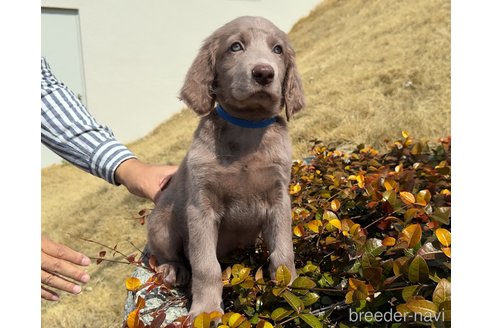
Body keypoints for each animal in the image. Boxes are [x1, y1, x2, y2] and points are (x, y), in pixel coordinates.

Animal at [147, 16, 304, 318]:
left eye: (277, 49)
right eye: (235, 46)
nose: (264, 73)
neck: (247, 129)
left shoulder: (279, 199)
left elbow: (283, 252)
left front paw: (290, 288)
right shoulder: (201, 208)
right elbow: (206, 266)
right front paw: (206, 310)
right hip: (161, 221)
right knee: (166, 254)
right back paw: (173, 269)